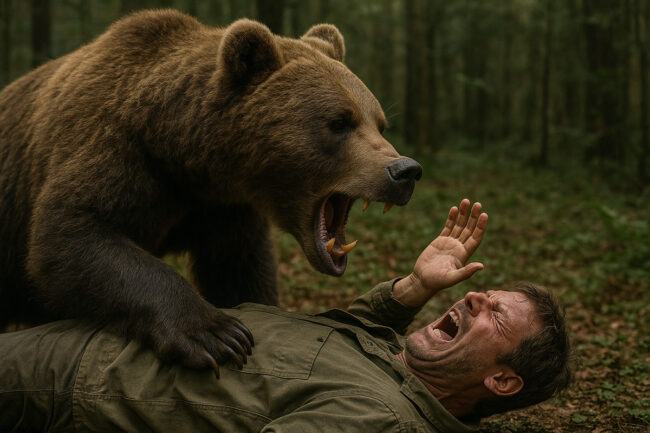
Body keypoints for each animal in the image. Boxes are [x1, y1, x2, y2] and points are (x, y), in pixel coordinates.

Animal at [0, 9, 422, 372]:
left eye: (379, 123)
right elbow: (71, 234)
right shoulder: (117, 150)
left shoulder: (223, 210)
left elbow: (238, 273)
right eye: (339, 122)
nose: (405, 170)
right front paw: (216, 335)